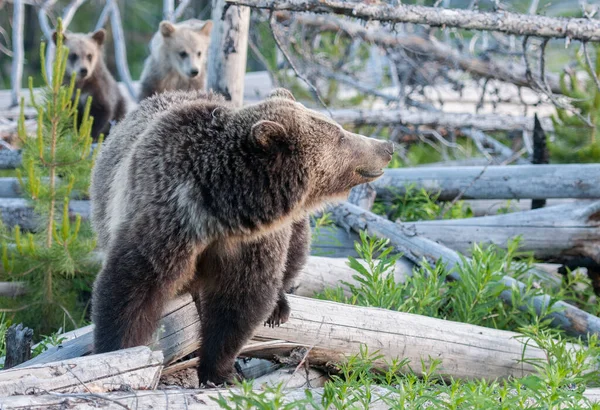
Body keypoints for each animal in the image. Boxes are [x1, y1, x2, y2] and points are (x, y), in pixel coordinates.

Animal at [88, 88, 390, 386]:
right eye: (340, 135)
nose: (387, 147)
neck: (220, 212)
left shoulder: (251, 242)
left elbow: (240, 301)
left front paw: (219, 372)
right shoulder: (165, 219)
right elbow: (132, 290)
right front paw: (119, 352)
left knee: (295, 250)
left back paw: (279, 306)